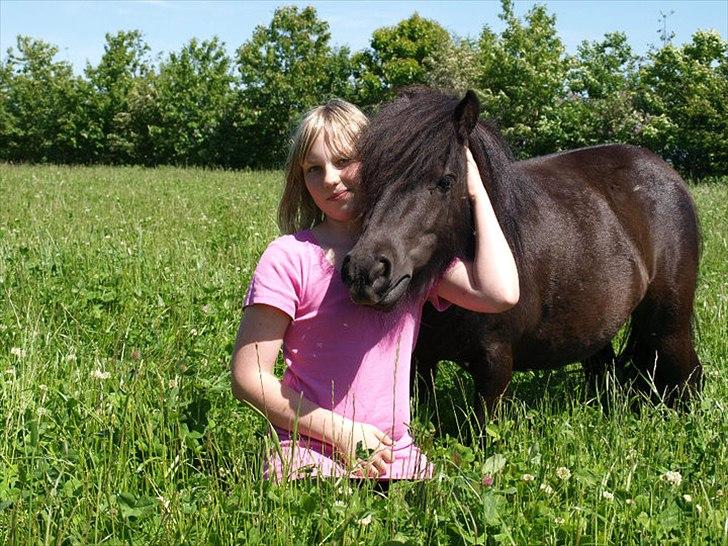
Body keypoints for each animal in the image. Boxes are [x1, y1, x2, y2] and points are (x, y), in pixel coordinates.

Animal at [341, 87, 702, 418]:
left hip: (669, 327)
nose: (365, 272)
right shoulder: (421, 361)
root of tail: (668, 175)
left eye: (445, 181)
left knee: (689, 377)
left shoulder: (495, 364)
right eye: (369, 179)